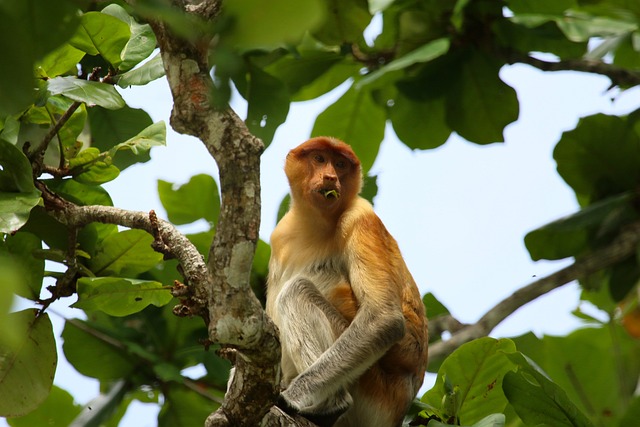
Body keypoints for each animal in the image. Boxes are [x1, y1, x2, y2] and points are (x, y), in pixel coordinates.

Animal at [266, 138, 430, 427]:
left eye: (340, 164)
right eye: (320, 159)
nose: (331, 177)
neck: (316, 222)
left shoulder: (360, 217)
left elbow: (383, 320)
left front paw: (293, 396)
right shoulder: (280, 236)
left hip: (373, 392)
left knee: (296, 291)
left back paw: (330, 406)